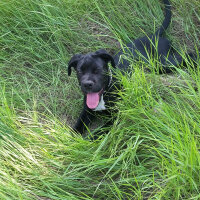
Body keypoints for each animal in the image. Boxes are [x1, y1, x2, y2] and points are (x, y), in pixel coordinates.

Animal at [68, 0, 198, 135]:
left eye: (97, 70)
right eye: (79, 71)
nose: (87, 85)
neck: (105, 92)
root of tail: (154, 35)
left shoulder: (115, 117)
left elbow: (98, 134)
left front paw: (89, 139)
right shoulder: (86, 111)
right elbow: (76, 128)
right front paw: (70, 139)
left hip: (162, 63)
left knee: (190, 56)